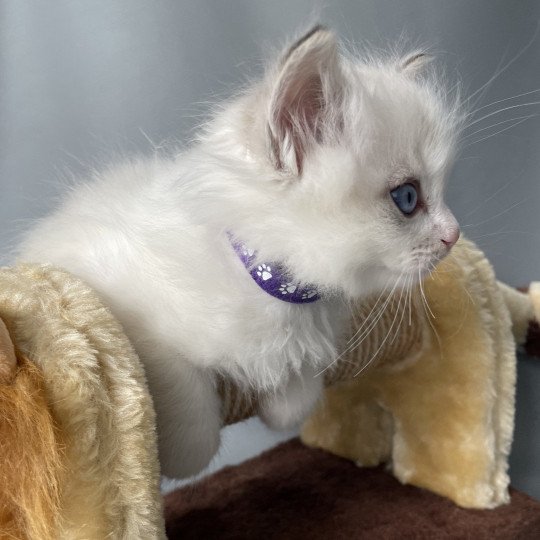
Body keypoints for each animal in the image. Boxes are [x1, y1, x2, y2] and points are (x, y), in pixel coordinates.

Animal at [19, 27, 462, 478]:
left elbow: (297, 391)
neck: (276, 290)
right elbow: (183, 389)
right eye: (407, 197)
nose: (455, 234)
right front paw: (183, 454)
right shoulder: (109, 294)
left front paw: (284, 397)